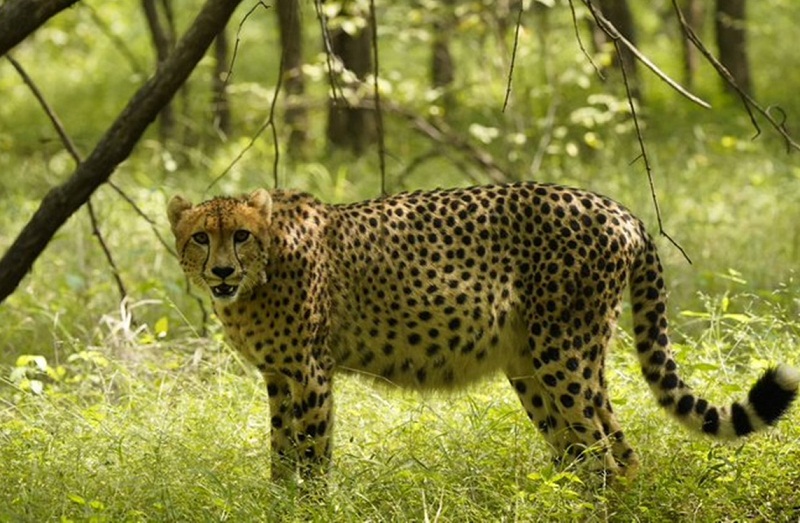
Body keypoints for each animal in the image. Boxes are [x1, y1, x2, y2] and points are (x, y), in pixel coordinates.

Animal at [166, 182, 796, 482]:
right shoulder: (278, 377)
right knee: (611, 449)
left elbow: (312, 454)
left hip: (562, 356)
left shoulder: (311, 374)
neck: (261, 276)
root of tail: (619, 209)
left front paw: (312, 504)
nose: (221, 272)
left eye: (240, 236)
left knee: (598, 452)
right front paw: (279, 501)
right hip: (537, 366)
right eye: (201, 237)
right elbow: (280, 454)